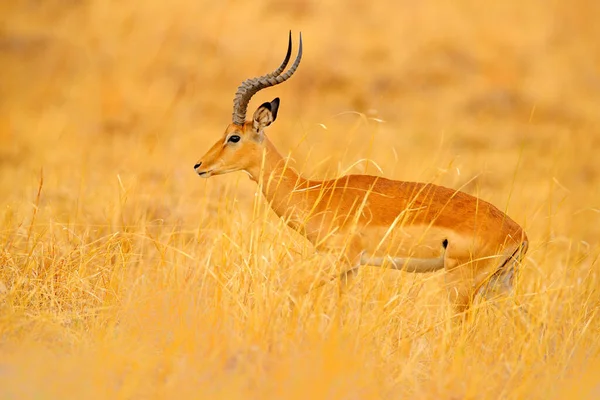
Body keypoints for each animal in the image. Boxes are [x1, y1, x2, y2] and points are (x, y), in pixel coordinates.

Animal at [195, 31, 528, 314]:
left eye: (234, 137)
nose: (200, 166)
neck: (317, 194)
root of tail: (518, 233)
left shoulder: (338, 261)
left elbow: (293, 288)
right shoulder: (352, 269)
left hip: (460, 287)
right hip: (498, 285)